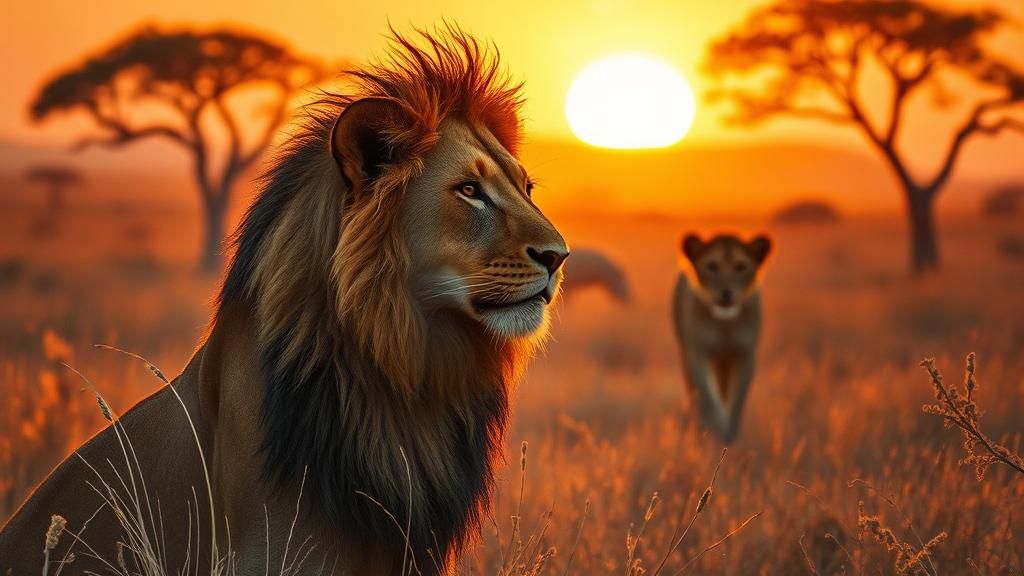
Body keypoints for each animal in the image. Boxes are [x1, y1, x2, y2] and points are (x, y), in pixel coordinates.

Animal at [673, 232, 771, 442]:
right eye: (712, 266)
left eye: (740, 267)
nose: (726, 293)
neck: (724, 324)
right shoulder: (698, 352)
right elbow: (708, 395)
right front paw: (715, 427)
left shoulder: (745, 354)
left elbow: (738, 398)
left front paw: (730, 432)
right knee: (696, 394)